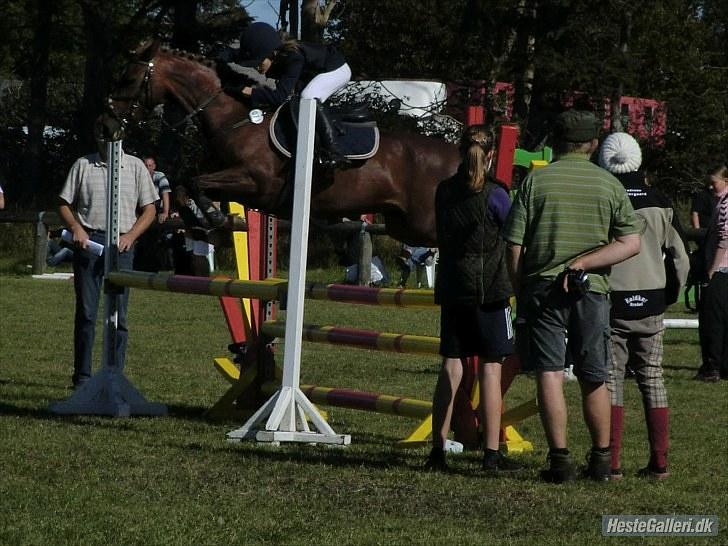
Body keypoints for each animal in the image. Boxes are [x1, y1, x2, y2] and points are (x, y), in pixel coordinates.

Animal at [106, 41, 460, 245]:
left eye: (129, 79)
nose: (105, 124)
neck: (236, 117)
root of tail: (456, 155)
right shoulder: (230, 181)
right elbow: (184, 184)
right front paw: (202, 223)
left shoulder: (255, 182)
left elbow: (192, 181)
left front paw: (214, 219)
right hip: (404, 225)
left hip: (424, 224)